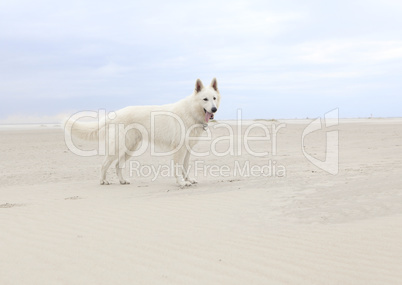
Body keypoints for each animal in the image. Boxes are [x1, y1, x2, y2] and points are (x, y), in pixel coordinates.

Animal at [65, 77, 220, 186]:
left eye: (214, 98)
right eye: (205, 99)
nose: (214, 109)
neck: (191, 111)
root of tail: (116, 114)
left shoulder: (187, 150)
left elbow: (185, 167)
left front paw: (188, 179)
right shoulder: (179, 150)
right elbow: (177, 168)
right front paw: (181, 182)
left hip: (130, 148)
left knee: (117, 165)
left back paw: (122, 181)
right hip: (118, 148)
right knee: (104, 164)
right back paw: (103, 181)